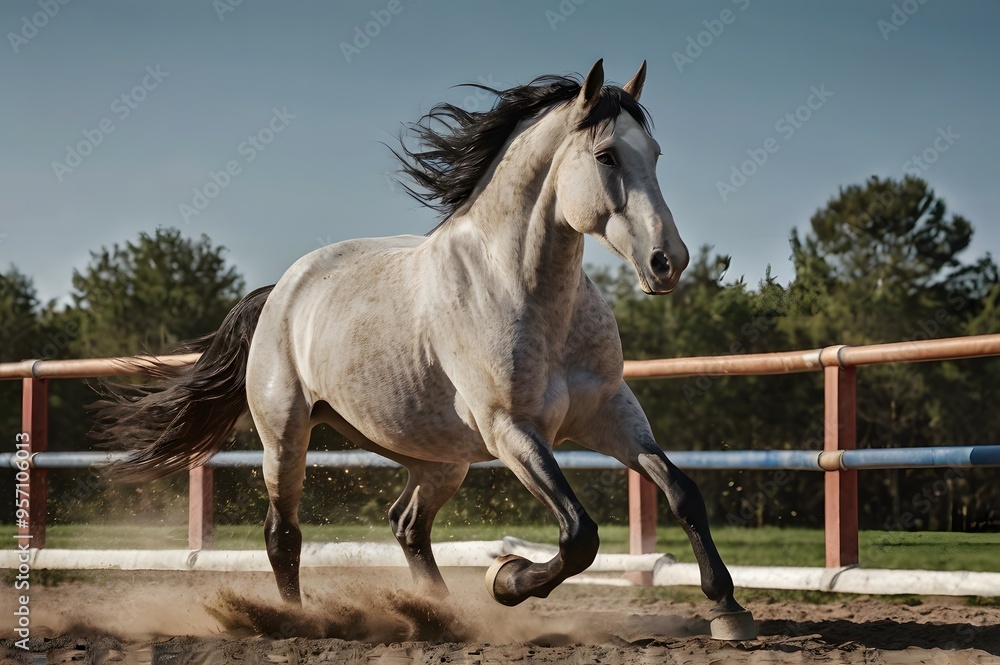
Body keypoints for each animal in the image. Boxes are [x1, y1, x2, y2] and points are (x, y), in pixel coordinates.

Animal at [93, 60, 755, 640]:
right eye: (606, 155)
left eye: (656, 154)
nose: (668, 262)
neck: (526, 291)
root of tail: (280, 291)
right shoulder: (512, 431)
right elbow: (579, 535)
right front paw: (505, 579)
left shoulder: (610, 413)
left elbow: (681, 492)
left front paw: (728, 609)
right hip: (285, 435)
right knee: (284, 534)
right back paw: (296, 620)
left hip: (439, 458)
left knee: (407, 525)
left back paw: (438, 616)